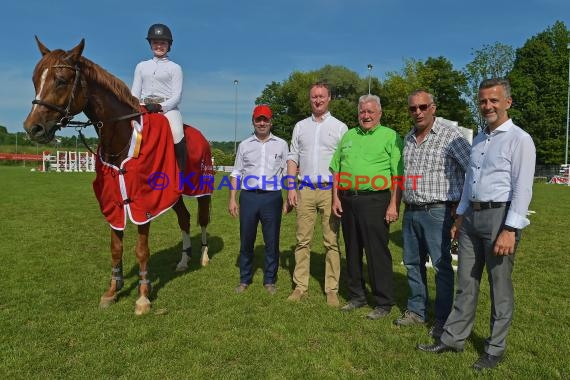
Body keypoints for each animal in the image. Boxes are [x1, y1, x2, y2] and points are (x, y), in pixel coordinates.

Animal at [22, 37, 213, 314]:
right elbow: (115, 247)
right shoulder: (113, 201)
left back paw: (204, 256)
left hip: (202, 189)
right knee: (185, 220)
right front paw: (112, 290)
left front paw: (143, 297)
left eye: (61, 80)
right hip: (173, 195)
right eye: (36, 79)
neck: (122, 137)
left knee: (203, 219)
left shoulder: (144, 203)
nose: (32, 128)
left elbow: (141, 250)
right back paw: (183, 261)